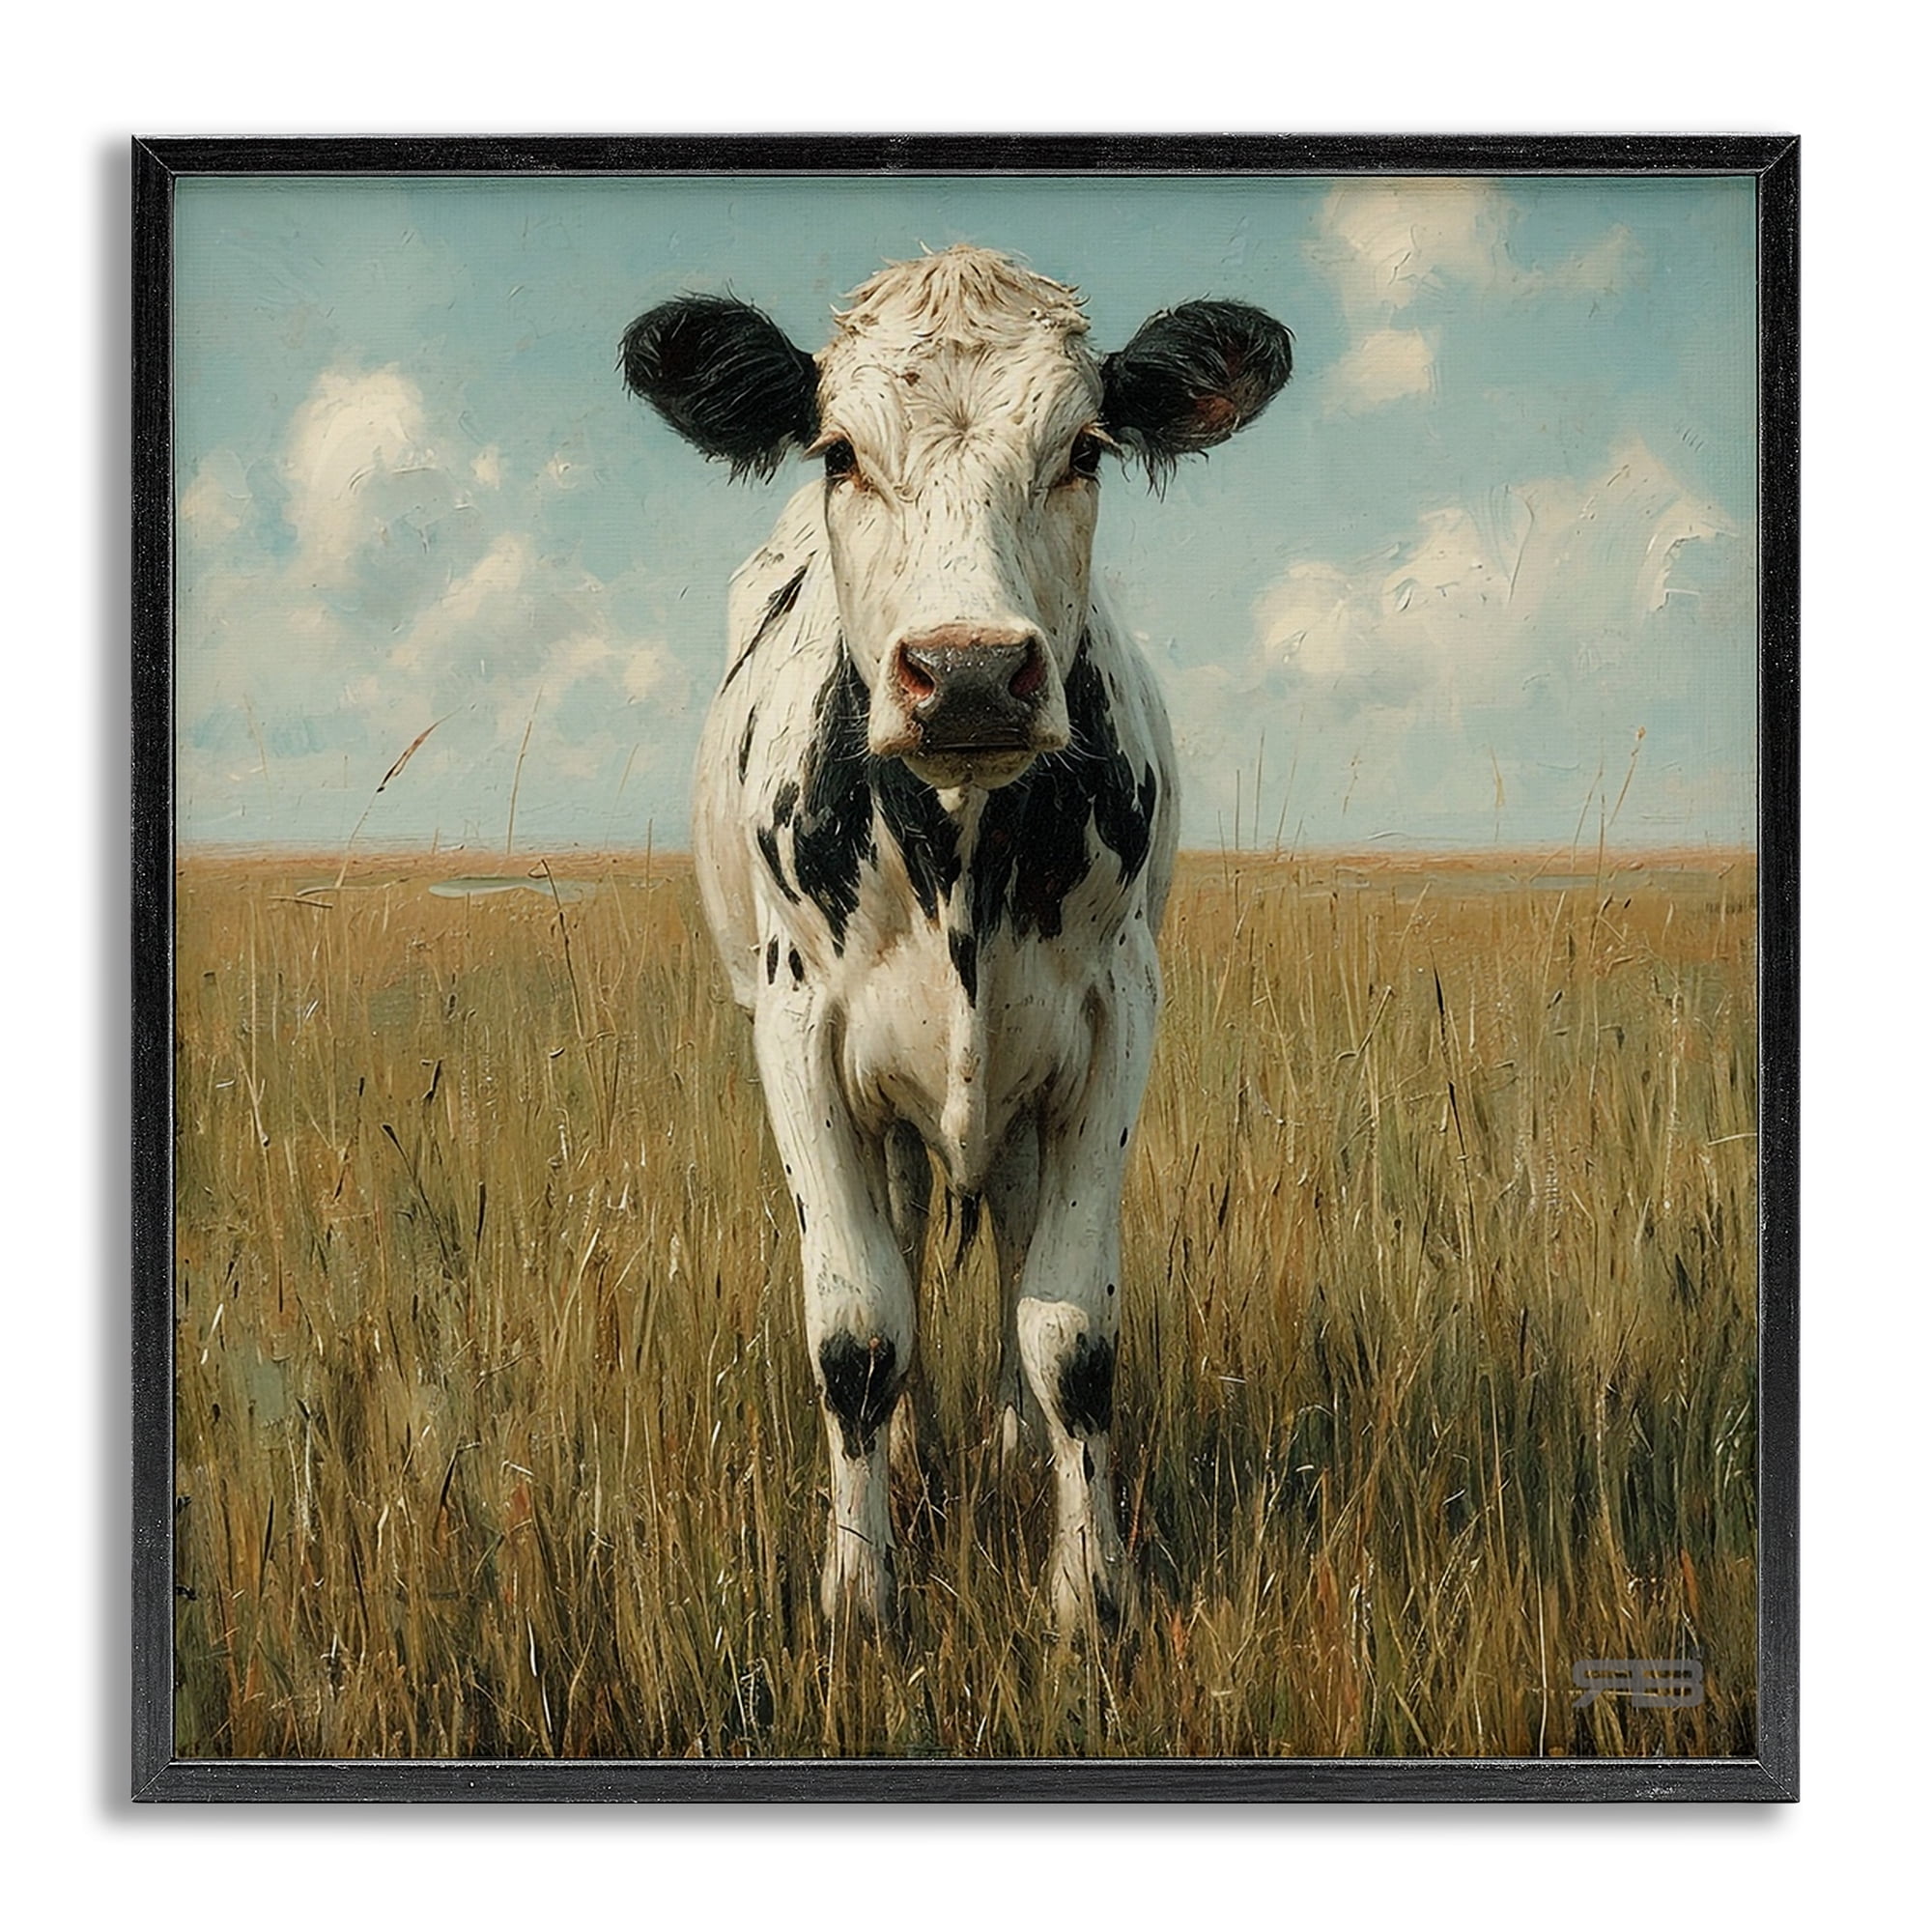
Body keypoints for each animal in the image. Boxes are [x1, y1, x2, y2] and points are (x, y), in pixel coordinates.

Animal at [621, 246, 1292, 1635]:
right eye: (837, 451)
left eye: (1084, 448)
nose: (970, 671)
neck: (960, 858)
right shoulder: (794, 1028)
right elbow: (858, 1326)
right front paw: (858, 1591)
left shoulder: (1114, 1016)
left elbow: (1068, 1327)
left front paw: (1088, 1591)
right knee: (908, 1240)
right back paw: (922, 1449)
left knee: (1010, 1246)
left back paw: (1004, 1442)